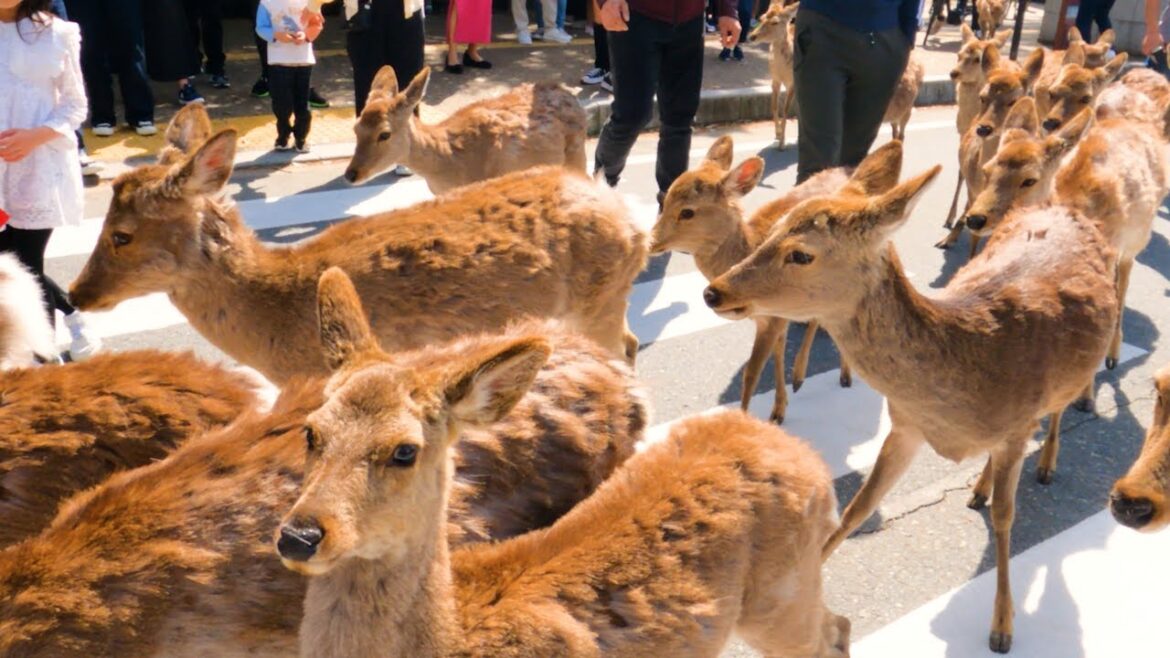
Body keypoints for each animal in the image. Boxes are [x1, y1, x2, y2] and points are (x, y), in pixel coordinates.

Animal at [277, 267, 849, 658]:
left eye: (404, 450)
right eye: (311, 432)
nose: (300, 535)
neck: (457, 635)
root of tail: (810, 460)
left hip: (782, 594)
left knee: (833, 632)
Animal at [651, 136, 895, 422]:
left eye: (688, 212)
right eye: (665, 198)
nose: (650, 241)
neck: (750, 244)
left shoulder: (772, 318)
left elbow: (751, 373)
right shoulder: (771, 317)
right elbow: (778, 352)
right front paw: (779, 408)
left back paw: (837, 375)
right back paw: (802, 377)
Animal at [702, 141, 1119, 653]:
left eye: (801, 254)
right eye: (774, 227)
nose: (714, 291)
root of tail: (1064, 208)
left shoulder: (1016, 427)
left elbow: (1006, 517)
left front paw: (1002, 626)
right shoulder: (905, 426)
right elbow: (857, 508)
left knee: (1059, 409)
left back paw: (1046, 463)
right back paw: (978, 487)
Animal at [748, 1, 800, 149]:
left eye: (775, 22)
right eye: (761, 17)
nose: (752, 36)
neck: (783, 70)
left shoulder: (793, 82)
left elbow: (786, 109)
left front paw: (782, 144)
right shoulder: (774, 79)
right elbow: (774, 106)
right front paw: (777, 134)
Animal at [936, 45, 1045, 255]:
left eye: (1013, 100)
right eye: (982, 97)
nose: (983, 128)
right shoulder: (974, 193)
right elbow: (974, 237)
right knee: (960, 180)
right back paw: (948, 229)